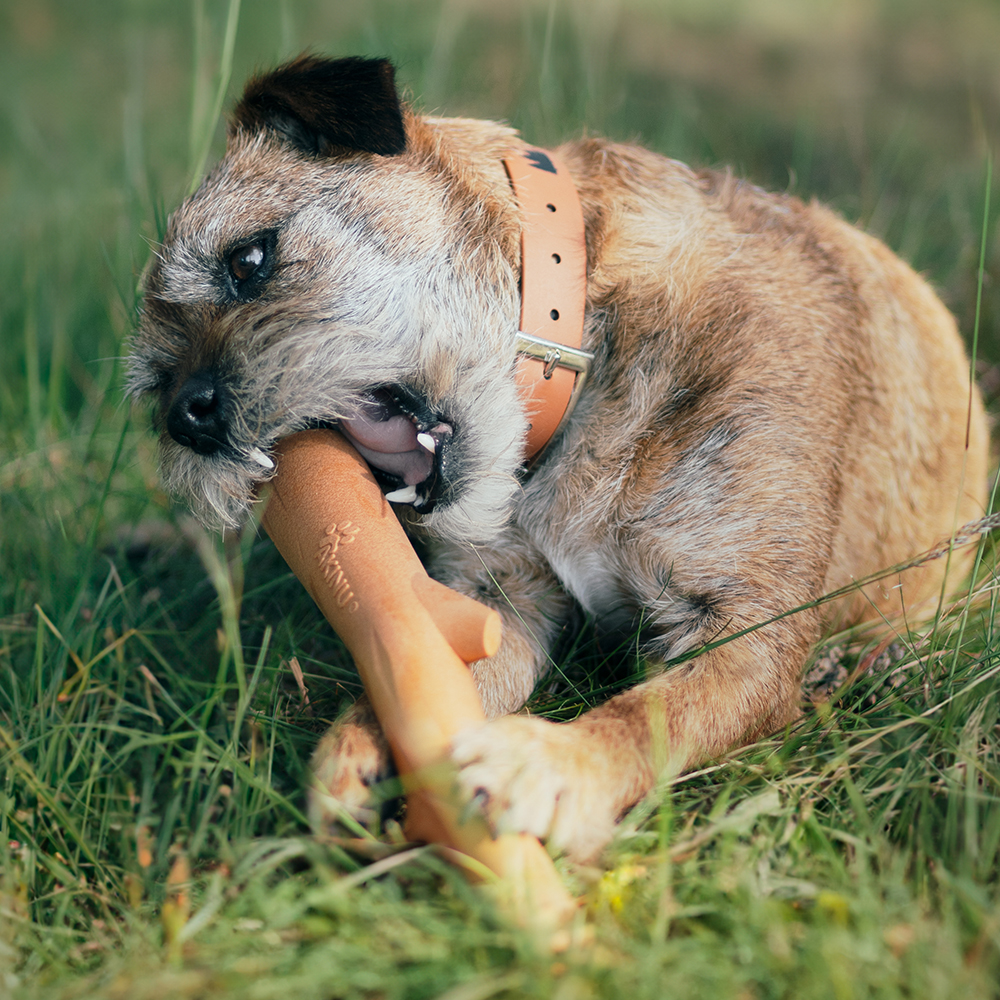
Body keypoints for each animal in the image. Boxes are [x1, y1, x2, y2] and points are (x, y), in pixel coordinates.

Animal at [129, 58, 988, 864]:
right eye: (156, 384)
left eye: (249, 259)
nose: (186, 416)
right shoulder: (506, 607)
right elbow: (442, 669)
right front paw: (366, 738)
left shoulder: (751, 635)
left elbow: (650, 713)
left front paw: (552, 762)